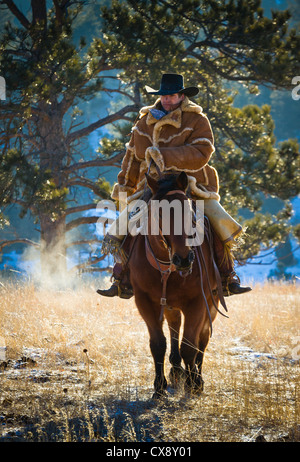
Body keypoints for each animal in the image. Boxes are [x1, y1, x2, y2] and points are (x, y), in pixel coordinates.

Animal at [125, 171, 226, 398]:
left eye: (190, 212)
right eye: (160, 214)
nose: (184, 259)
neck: (167, 269)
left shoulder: (198, 302)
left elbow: (190, 345)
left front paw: (194, 383)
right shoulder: (145, 302)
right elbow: (158, 344)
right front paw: (159, 387)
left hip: (212, 303)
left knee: (202, 340)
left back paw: (194, 375)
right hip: (171, 307)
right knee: (174, 328)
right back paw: (176, 371)